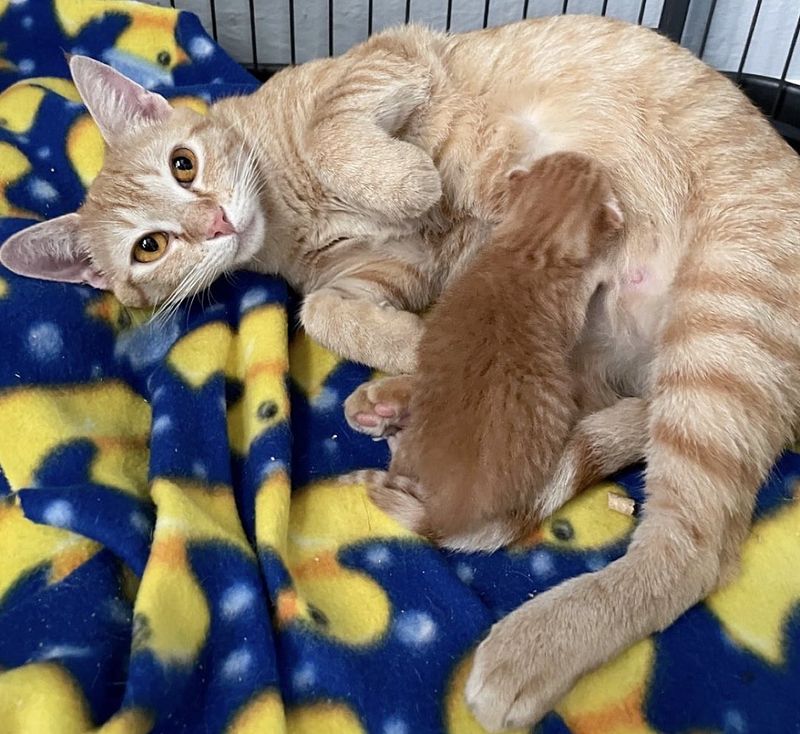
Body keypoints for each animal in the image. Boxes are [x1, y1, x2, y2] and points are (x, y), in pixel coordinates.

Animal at [346, 151, 620, 552]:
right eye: (593, 172)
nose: (582, 156)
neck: (530, 244)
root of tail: (444, 515)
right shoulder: (571, 303)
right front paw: (604, 268)